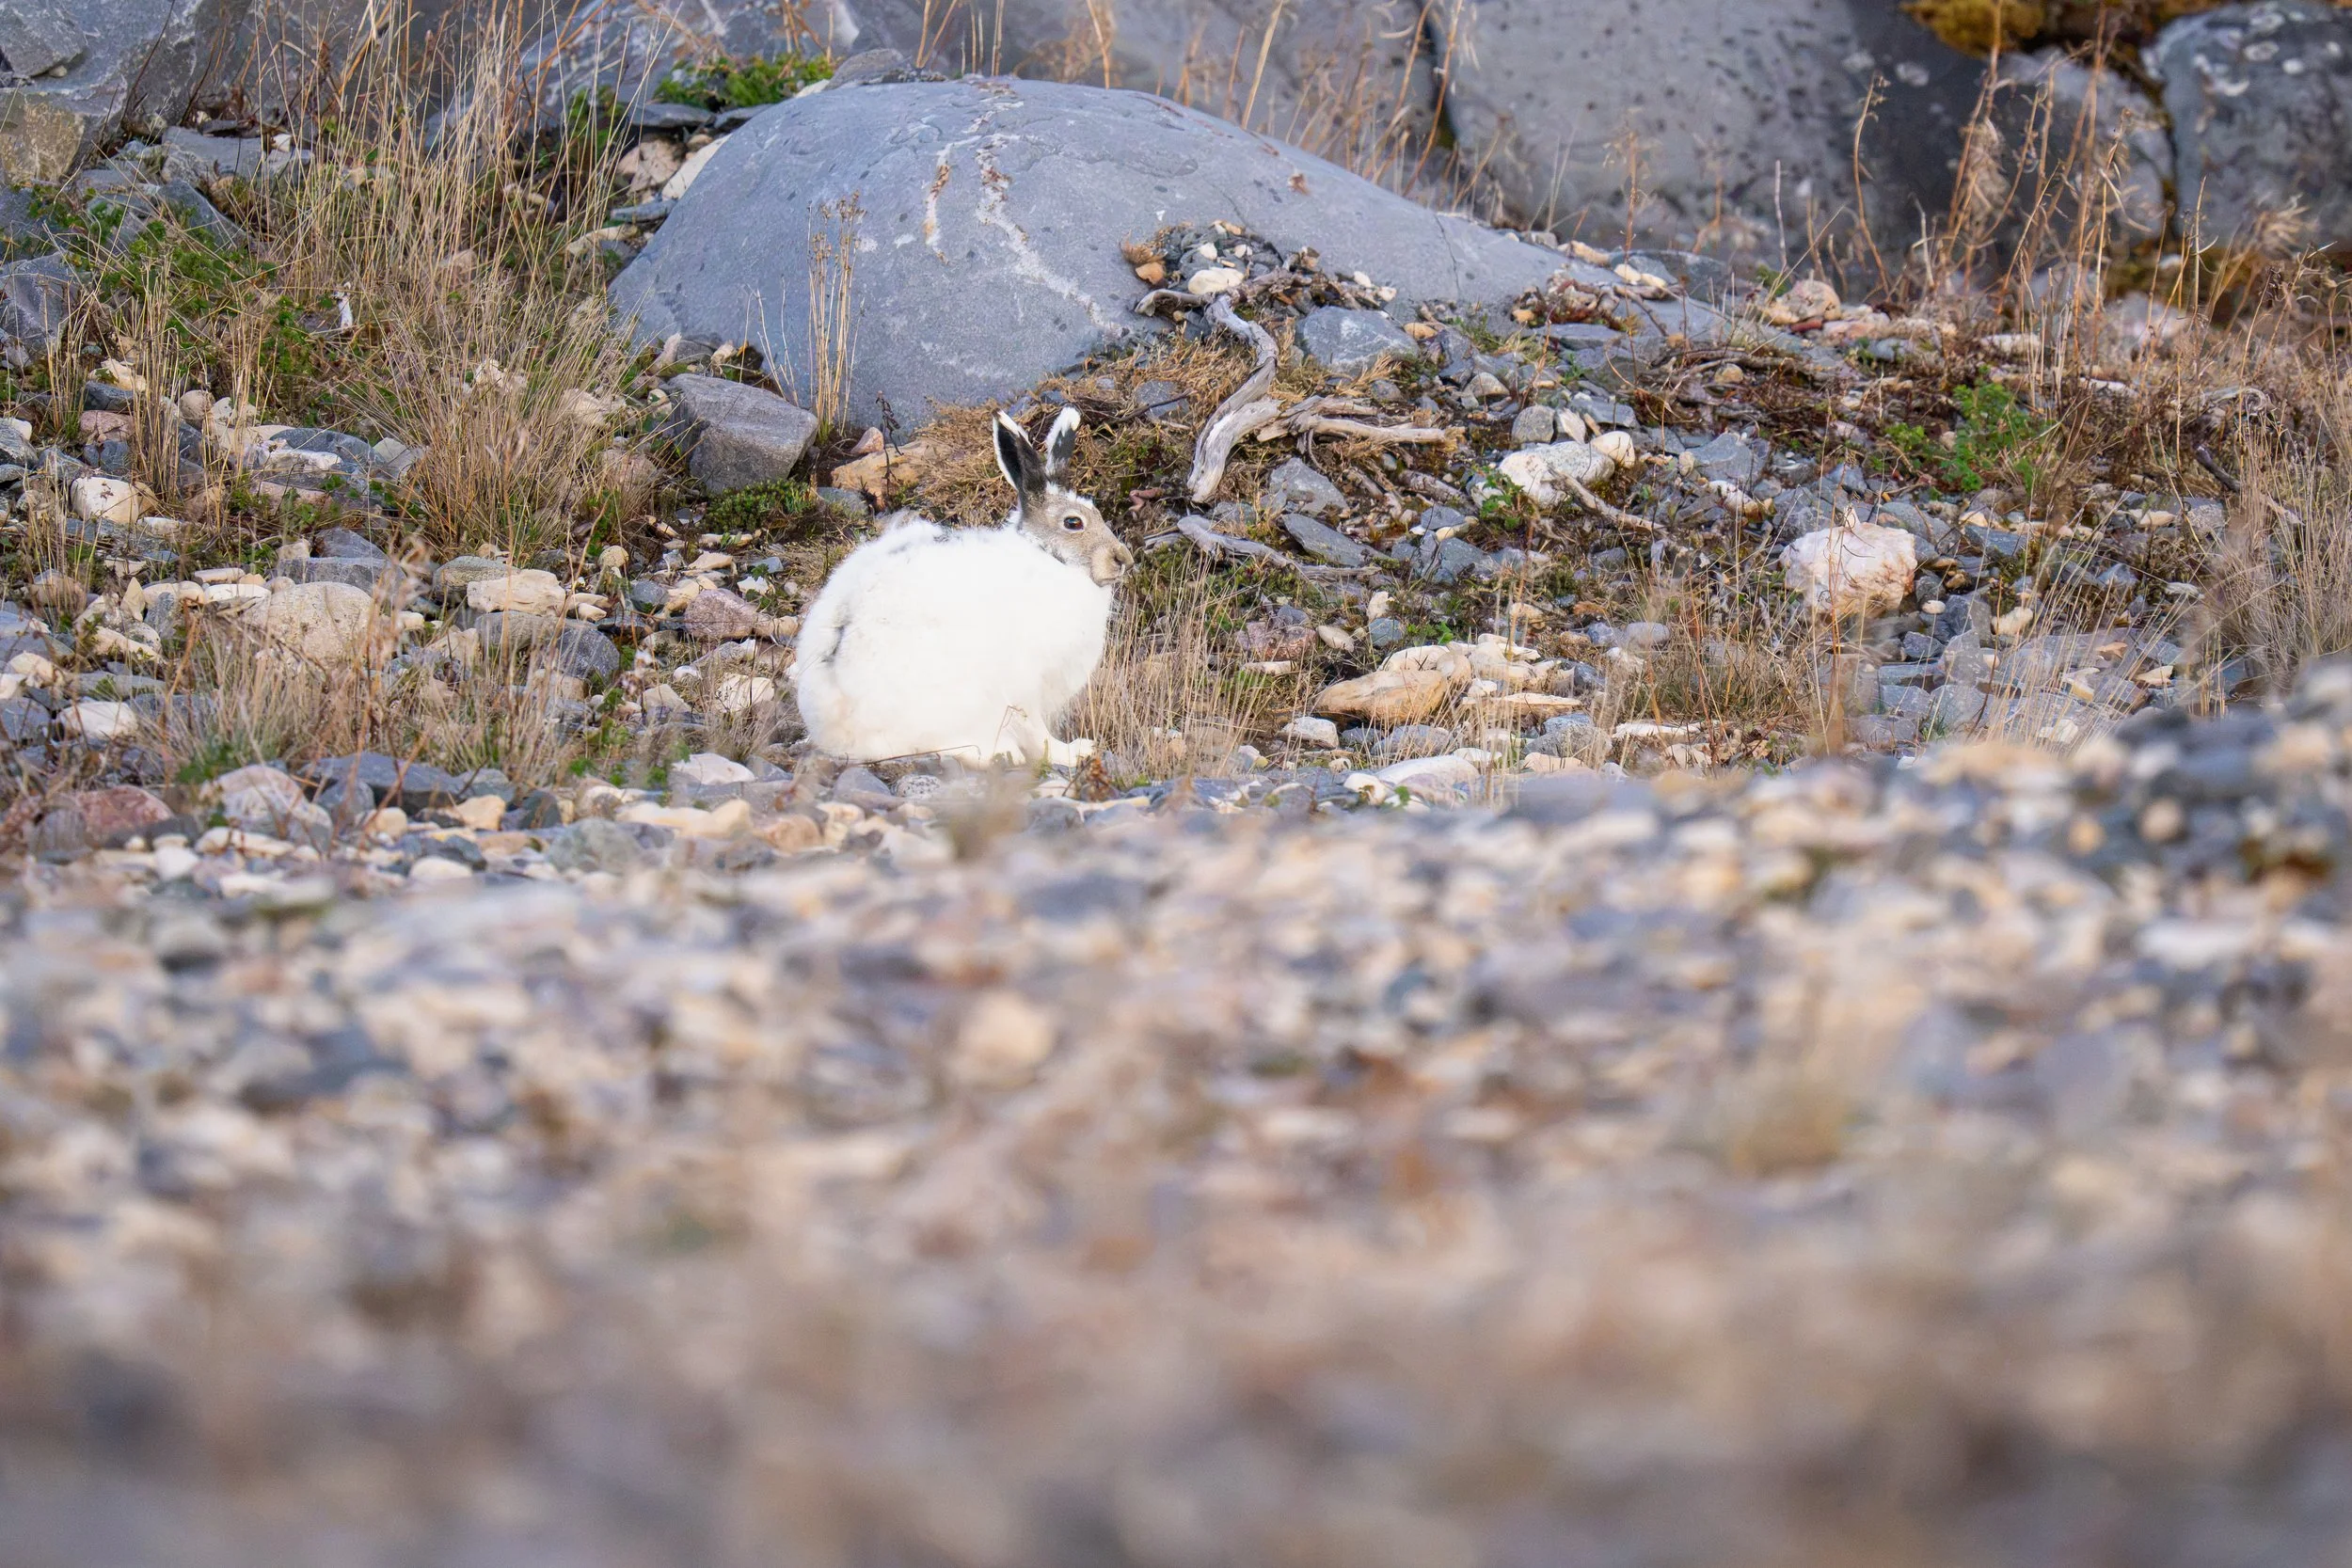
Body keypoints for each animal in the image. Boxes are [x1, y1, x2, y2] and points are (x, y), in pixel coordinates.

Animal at [793, 406, 1135, 768]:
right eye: (1073, 523)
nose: (1123, 559)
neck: (1051, 558)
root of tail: (836, 734)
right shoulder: (1025, 686)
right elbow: (1036, 731)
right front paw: (1074, 752)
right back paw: (999, 753)